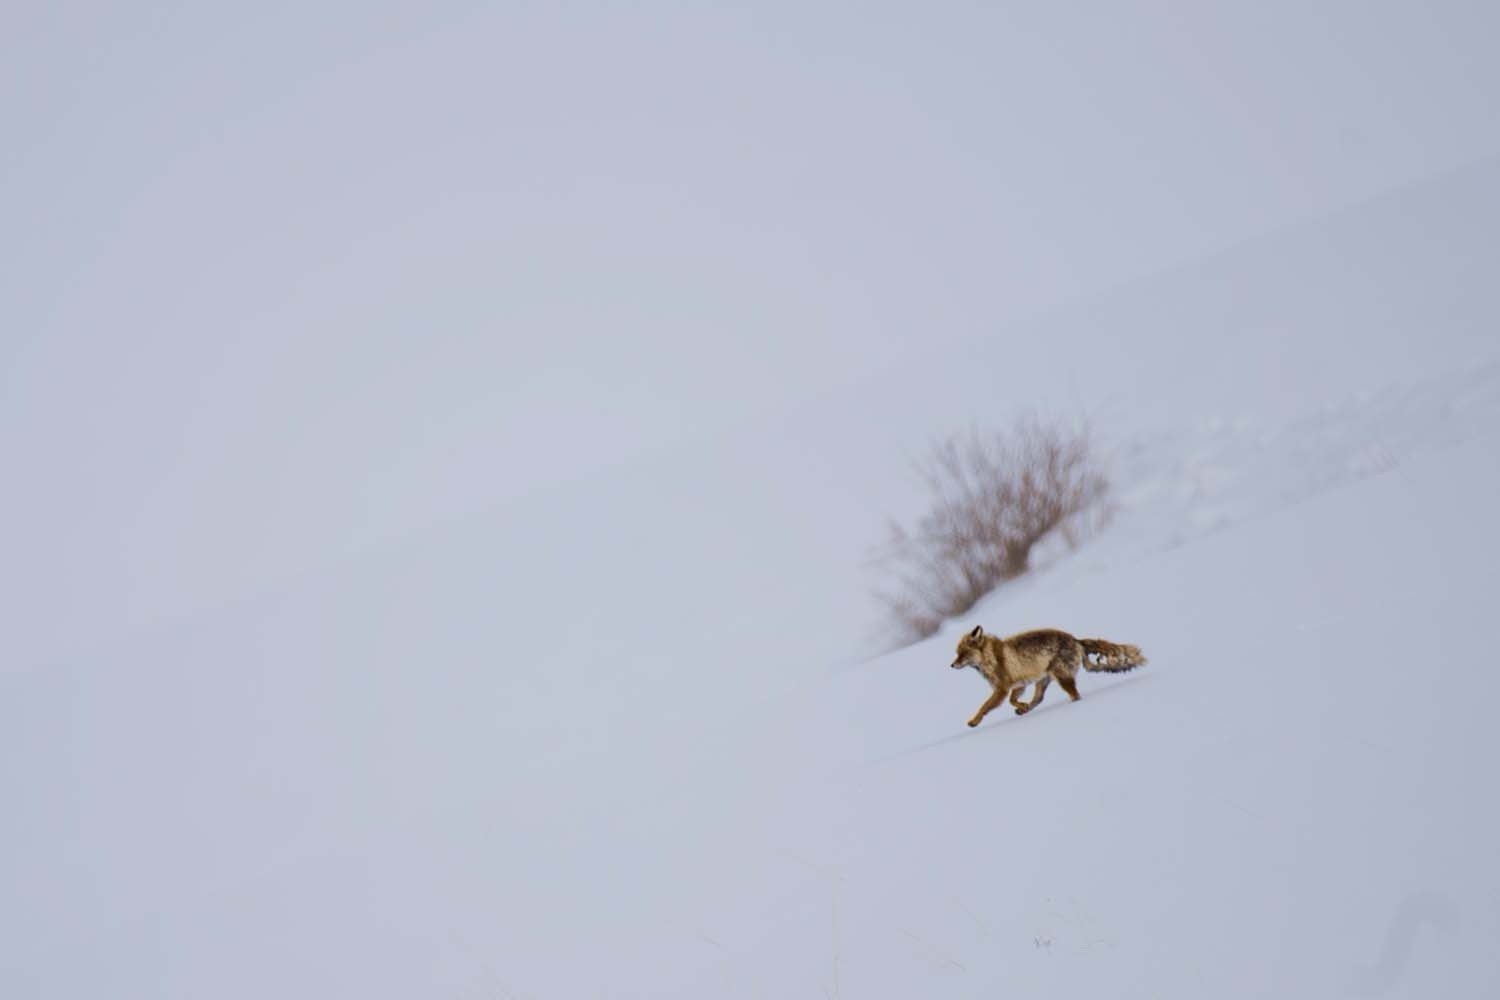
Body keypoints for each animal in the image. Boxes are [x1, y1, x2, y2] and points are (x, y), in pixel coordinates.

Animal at [950, 625, 1146, 728]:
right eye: (957, 654)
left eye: (963, 654)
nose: (951, 665)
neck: (991, 657)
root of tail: (1075, 639)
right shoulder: (1019, 684)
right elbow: (1013, 700)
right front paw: (1022, 706)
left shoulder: (1002, 689)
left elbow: (984, 707)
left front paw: (974, 721)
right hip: (1042, 681)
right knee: (1039, 699)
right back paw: (1026, 709)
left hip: (1062, 678)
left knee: (1075, 695)